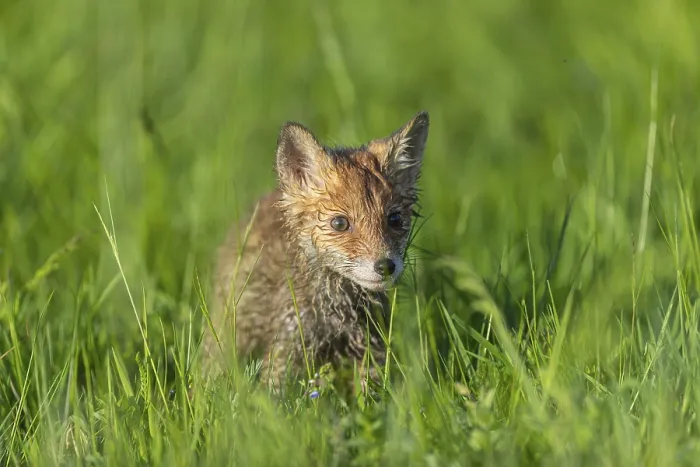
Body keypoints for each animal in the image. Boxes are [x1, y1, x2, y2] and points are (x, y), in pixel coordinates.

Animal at [200, 111, 430, 392]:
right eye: (340, 223)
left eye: (395, 219)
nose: (385, 266)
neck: (337, 315)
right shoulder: (287, 349)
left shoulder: (371, 351)